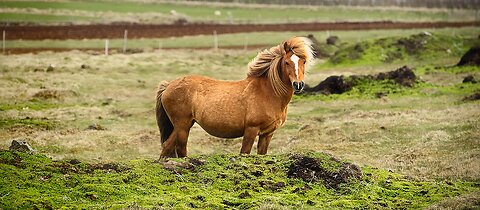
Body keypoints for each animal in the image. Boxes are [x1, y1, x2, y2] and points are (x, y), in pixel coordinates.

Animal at [156, 36, 316, 158]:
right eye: (287, 62)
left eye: (303, 61)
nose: (298, 84)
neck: (269, 92)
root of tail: (168, 86)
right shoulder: (251, 130)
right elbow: (244, 152)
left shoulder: (267, 134)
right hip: (182, 126)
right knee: (179, 149)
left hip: (182, 126)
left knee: (167, 147)